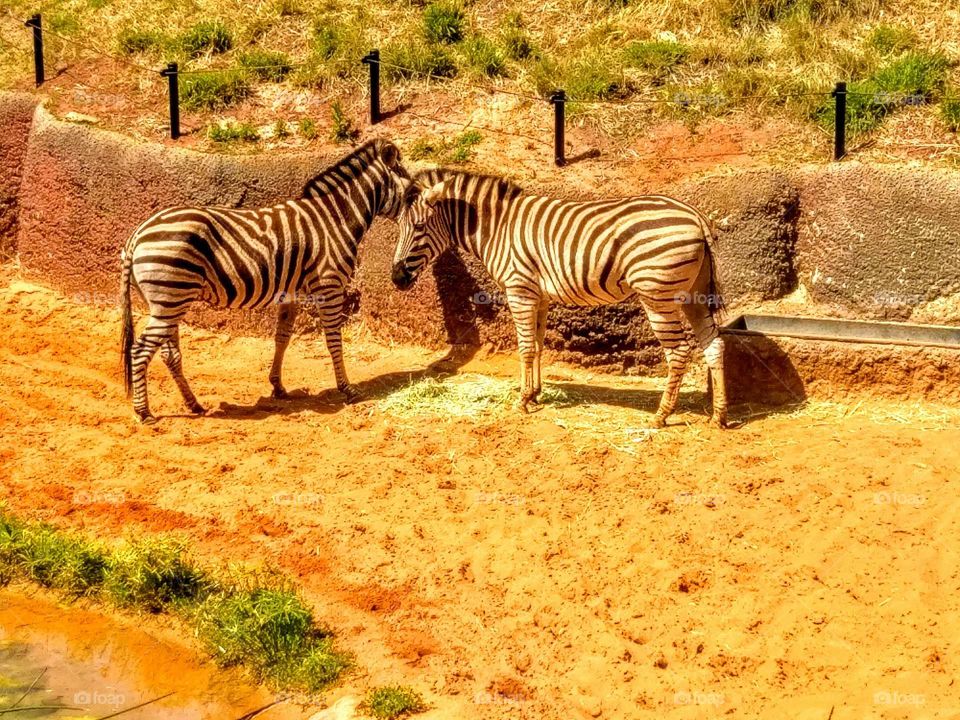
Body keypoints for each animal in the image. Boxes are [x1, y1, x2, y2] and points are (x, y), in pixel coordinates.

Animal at [120, 139, 413, 424]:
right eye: (411, 193)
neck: (334, 220)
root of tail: (138, 234)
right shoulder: (329, 285)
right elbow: (333, 340)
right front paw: (347, 389)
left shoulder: (292, 292)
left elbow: (282, 337)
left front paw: (278, 386)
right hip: (170, 297)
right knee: (140, 350)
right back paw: (144, 413)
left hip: (168, 301)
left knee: (169, 354)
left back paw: (193, 404)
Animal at [391, 170, 729, 428]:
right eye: (400, 227)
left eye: (419, 227)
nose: (396, 278)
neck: (497, 228)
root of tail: (694, 216)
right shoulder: (538, 295)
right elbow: (539, 345)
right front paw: (535, 393)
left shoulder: (519, 290)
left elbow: (525, 348)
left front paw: (522, 401)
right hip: (692, 294)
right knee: (714, 344)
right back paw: (719, 416)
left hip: (656, 293)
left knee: (679, 351)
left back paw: (661, 415)